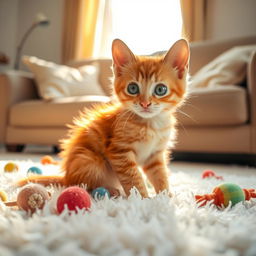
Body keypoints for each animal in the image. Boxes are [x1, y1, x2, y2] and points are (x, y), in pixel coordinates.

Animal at [18, 39, 190, 197]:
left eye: (161, 89)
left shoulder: (155, 155)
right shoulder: (119, 152)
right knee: (82, 185)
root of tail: (67, 176)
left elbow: (160, 175)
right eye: (132, 88)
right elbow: (133, 179)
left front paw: (166, 199)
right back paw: (109, 190)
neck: (151, 124)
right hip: (90, 160)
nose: (145, 103)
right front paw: (143, 199)